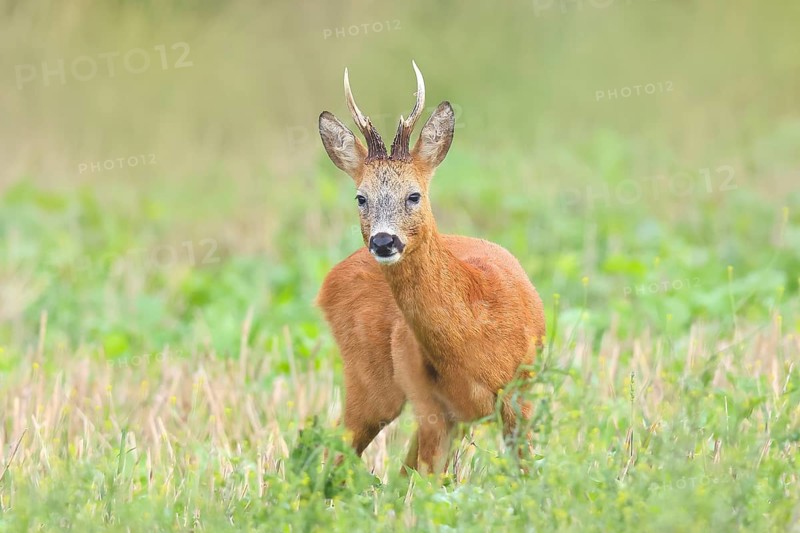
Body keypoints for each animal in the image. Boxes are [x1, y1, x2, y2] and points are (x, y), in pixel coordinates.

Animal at [316, 61, 546, 475]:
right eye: (361, 197)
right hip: (370, 381)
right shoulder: (430, 405)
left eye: (414, 195)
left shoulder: (520, 394)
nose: (383, 241)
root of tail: (329, 281)